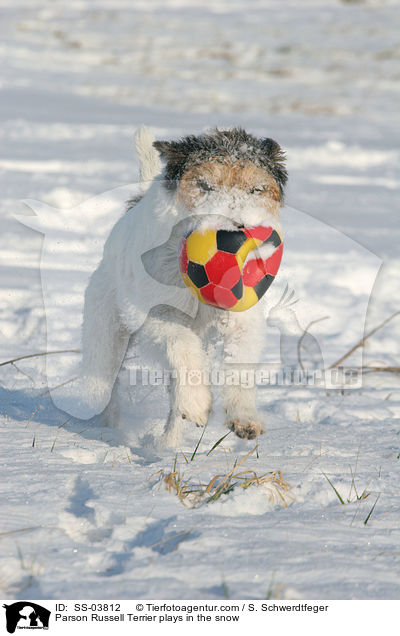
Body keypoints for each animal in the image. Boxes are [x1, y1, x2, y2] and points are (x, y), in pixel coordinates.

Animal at [82, 125, 288, 448]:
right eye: (204, 185)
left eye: (256, 189)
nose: (235, 231)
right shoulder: (153, 314)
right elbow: (180, 342)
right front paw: (196, 403)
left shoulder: (243, 316)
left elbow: (240, 360)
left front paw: (244, 417)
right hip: (106, 333)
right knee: (106, 385)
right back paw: (112, 429)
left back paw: (170, 441)